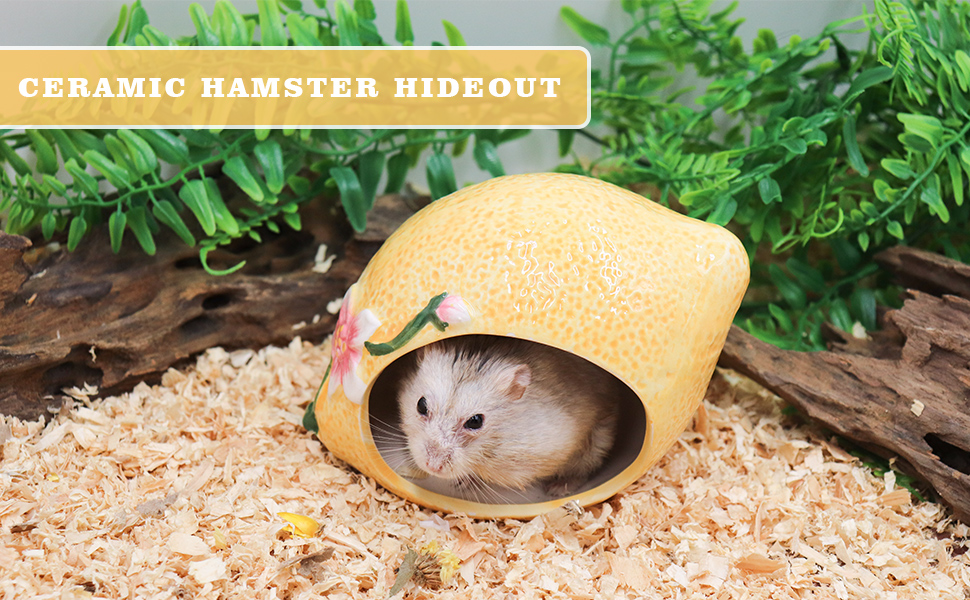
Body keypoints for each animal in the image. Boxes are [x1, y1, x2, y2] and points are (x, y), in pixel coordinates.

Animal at [396, 335, 620, 498]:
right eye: (421, 405)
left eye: (475, 421)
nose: (432, 467)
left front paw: (463, 483)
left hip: (597, 442)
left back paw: (558, 488)